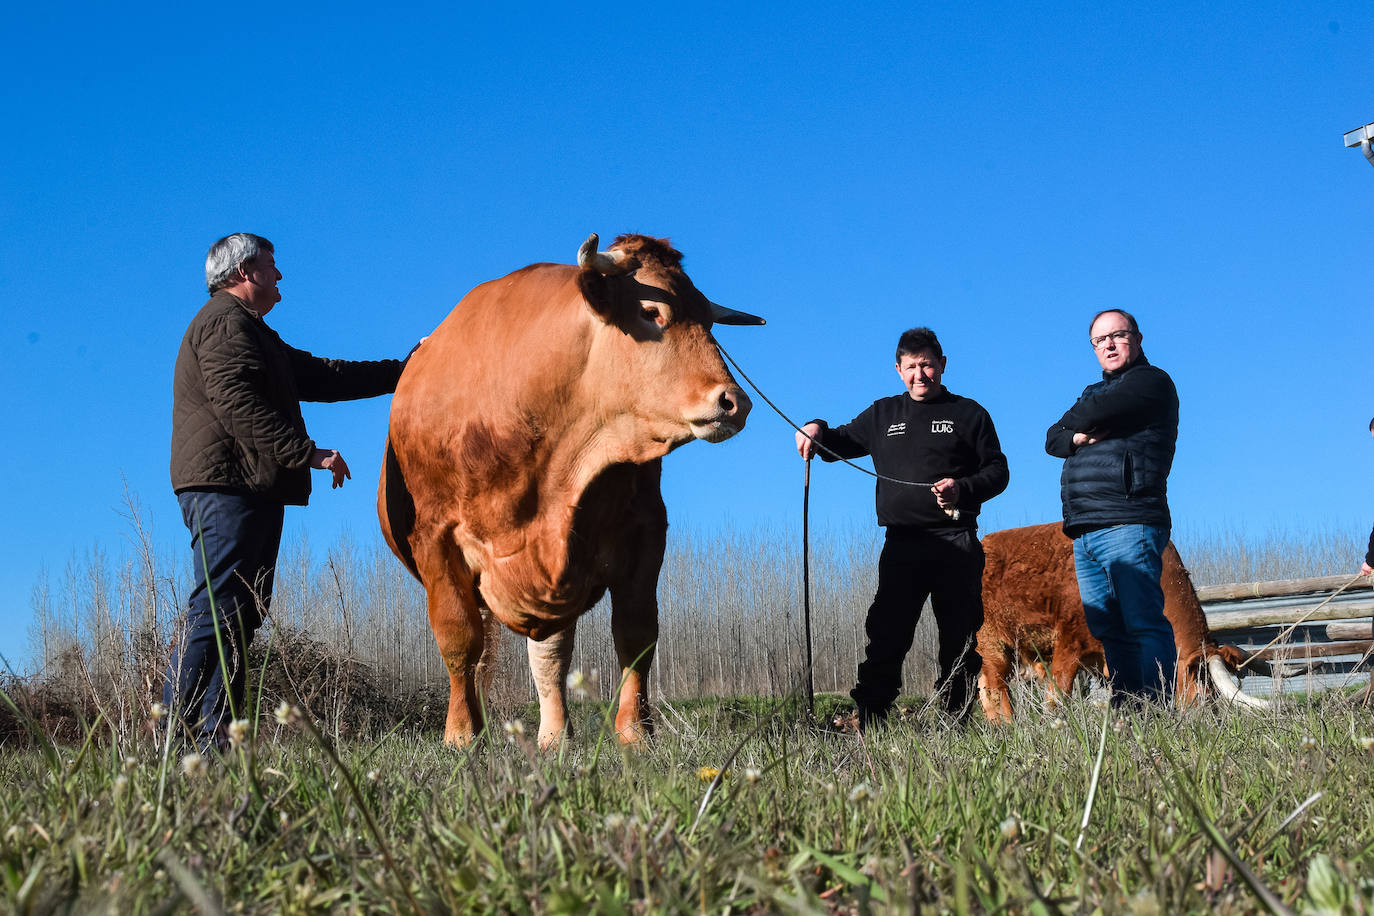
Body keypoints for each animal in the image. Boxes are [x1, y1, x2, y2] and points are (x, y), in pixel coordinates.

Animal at [381, 233, 758, 747]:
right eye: (652, 311)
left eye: (708, 320)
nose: (734, 402)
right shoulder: (435, 537)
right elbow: (459, 640)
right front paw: (460, 734)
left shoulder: (646, 528)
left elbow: (636, 633)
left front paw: (635, 730)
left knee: (550, 656)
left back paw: (556, 735)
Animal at [978, 519, 1264, 719]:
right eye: (1202, 688)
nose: (1209, 720)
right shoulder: (1069, 645)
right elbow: (1056, 698)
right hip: (991, 646)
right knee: (995, 689)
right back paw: (1008, 727)